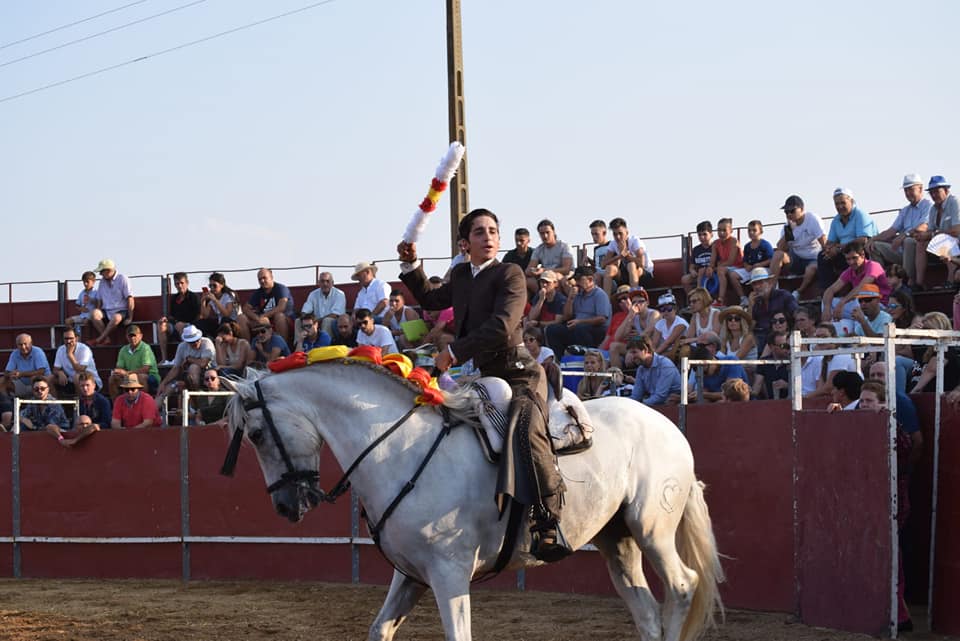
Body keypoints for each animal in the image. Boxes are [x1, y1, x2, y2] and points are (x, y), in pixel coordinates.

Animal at [221, 360, 724, 640]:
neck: (398, 447)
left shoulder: (449, 574)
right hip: (616, 541)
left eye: (257, 434)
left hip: (652, 529)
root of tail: (668, 425)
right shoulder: (412, 575)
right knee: (646, 612)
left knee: (682, 586)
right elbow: (379, 629)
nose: (287, 506)